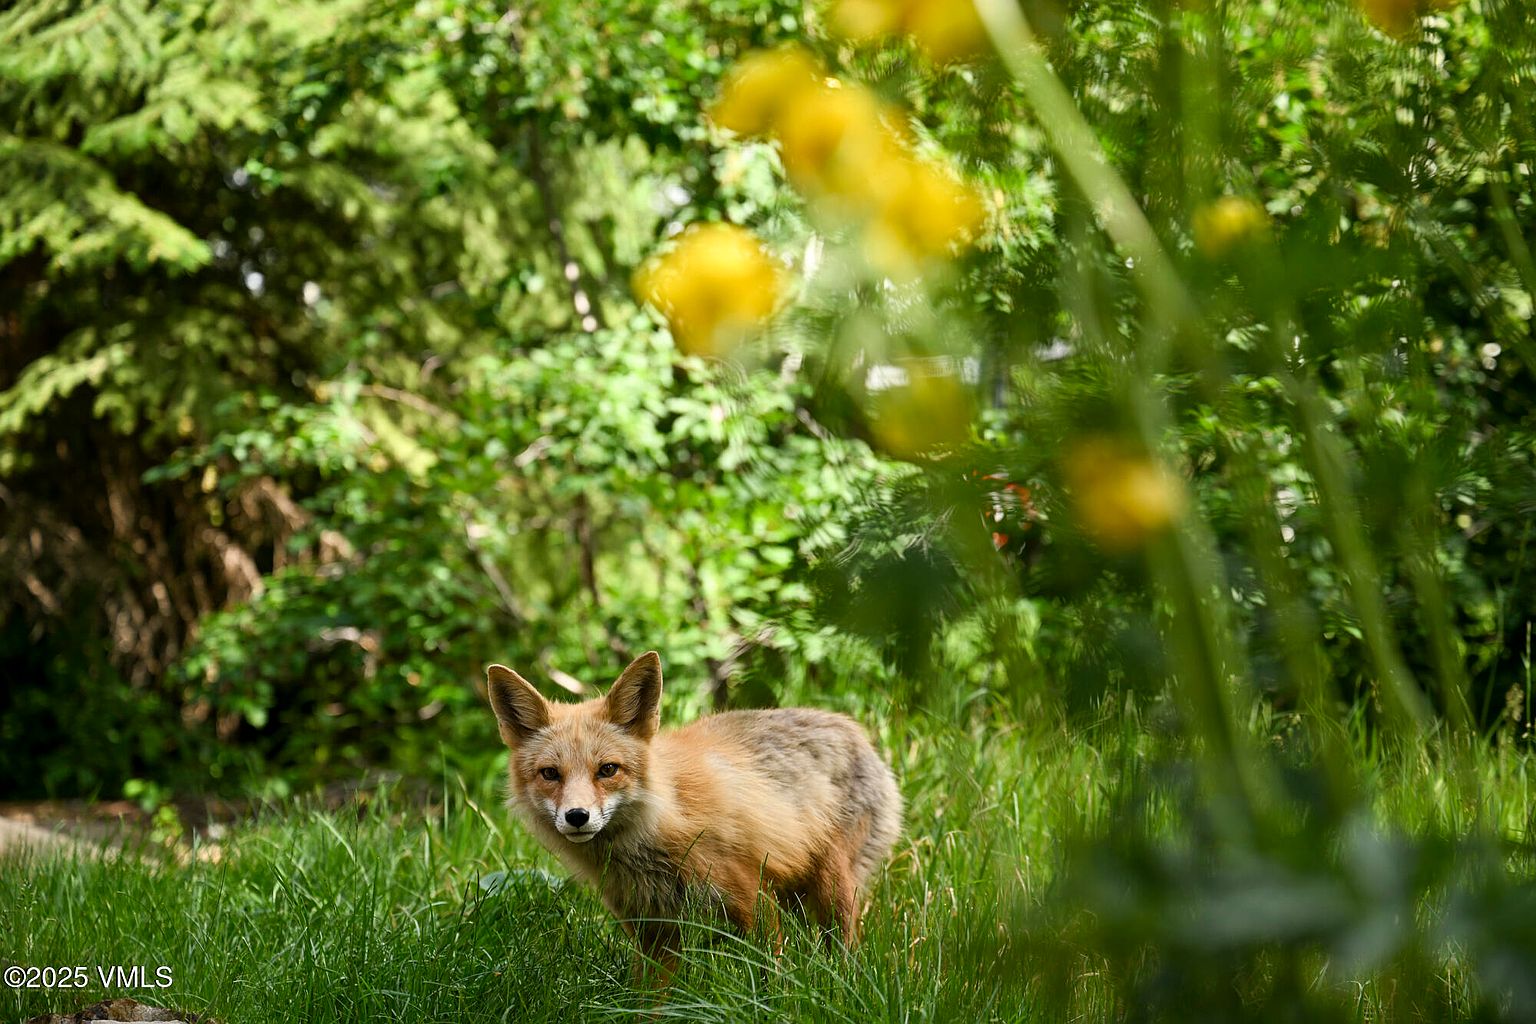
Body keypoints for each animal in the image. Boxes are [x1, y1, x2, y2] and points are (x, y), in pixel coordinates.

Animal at [485, 650, 902, 966]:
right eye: (550, 774)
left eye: (607, 770)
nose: (576, 817)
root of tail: (851, 726)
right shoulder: (653, 933)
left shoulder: (754, 903)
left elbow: (772, 984)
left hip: (832, 890)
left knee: (844, 953)